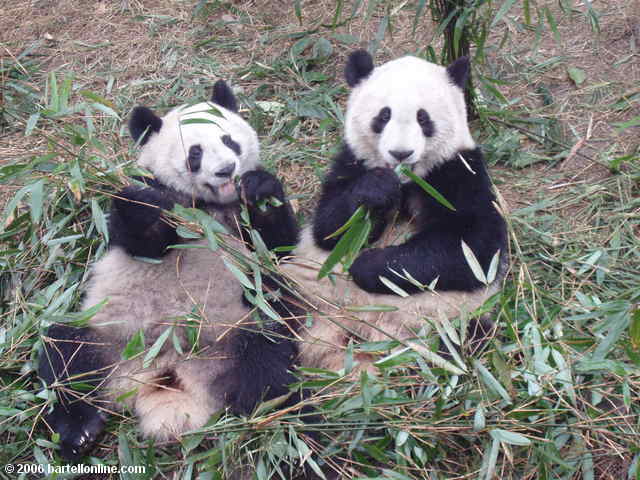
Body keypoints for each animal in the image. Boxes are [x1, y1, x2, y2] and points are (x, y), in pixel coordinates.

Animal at [38, 80, 302, 460]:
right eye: (195, 153)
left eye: (229, 141)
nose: (226, 170)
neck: (206, 205)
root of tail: (167, 376)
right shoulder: (152, 196)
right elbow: (142, 236)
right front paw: (146, 208)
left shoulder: (242, 223)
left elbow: (278, 248)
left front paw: (261, 188)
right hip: (108, 336)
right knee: (65, 358)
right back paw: (79, 431)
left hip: (237, 333)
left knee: (268, 359)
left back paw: (273, 420)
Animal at [278, 49, 508, 372]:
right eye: (383, 115)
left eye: (423, 117)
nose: (401, 153)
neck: (408, 178)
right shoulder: (352, 161)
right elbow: (330, 228)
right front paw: (377, 190)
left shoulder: (458, 169)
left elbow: (472, 246)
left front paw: (366, 265)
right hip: (303, 293)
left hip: (451, 321)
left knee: (464, 347)